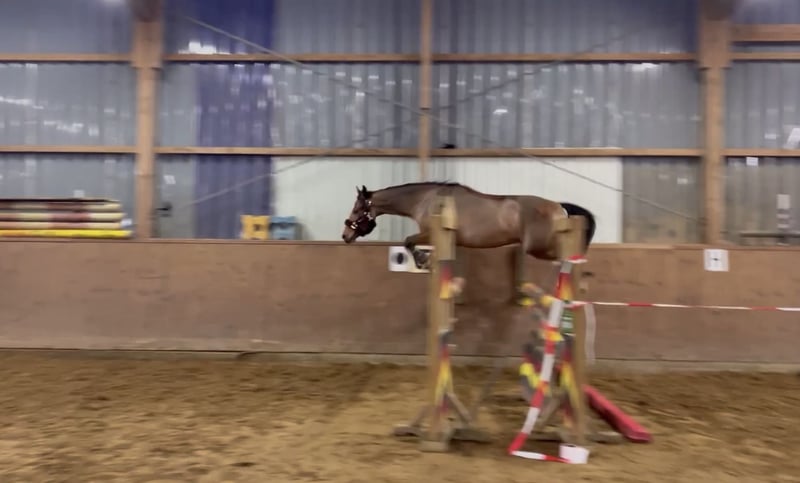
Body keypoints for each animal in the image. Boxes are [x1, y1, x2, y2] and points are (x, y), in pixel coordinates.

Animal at [341, 182, 596, 299]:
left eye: (356, 209)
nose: (345, 236)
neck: (426, 200)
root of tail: (559, 208)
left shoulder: (430, 233)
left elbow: (409, 241)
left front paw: (423, 261)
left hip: (540, 248)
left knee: (569, 258)